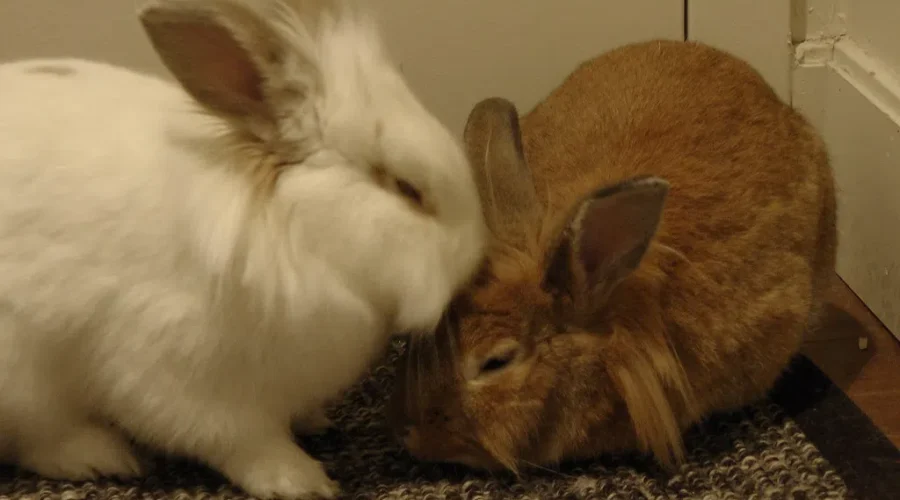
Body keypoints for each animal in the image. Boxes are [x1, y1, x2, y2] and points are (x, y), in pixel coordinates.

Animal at [0, 0, 485, 497]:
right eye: (406, 188)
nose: (474, 258)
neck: (292, 229)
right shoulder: (179, 375)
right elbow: (239, 440)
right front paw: (302, 480)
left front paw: (314, 422)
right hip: (20, 374)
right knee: (38, 435)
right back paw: (99, 456)